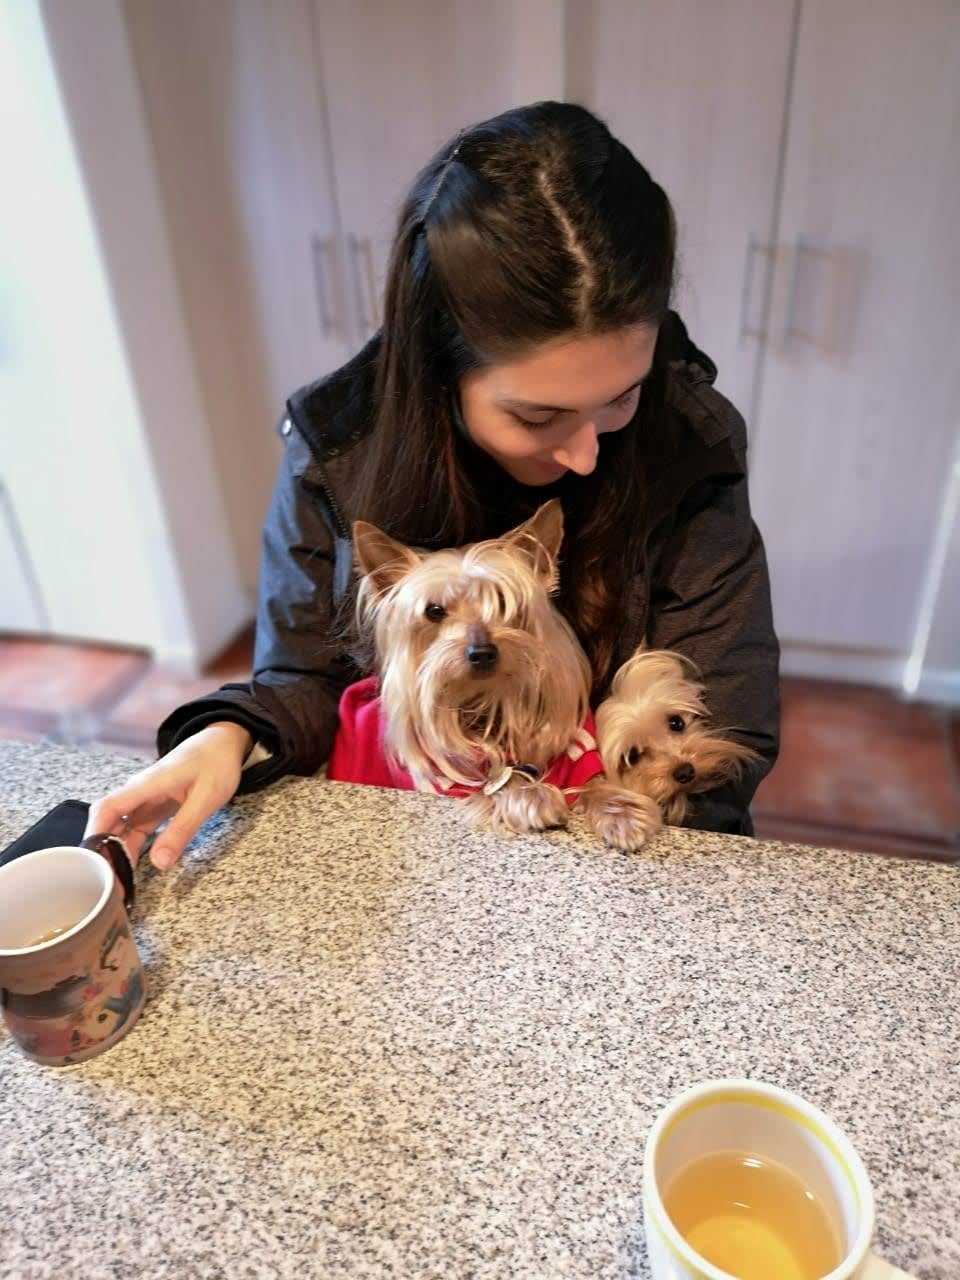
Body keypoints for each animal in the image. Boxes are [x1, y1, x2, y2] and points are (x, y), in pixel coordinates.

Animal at [330, 499, 660, 849]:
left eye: (502, 600)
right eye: (434, 611)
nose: (482, 652)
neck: (489, 700)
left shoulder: (578, 754)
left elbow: (594, 781)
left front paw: (621, 812)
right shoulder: (449, 781)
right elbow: (499, 784)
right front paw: (532, 797)